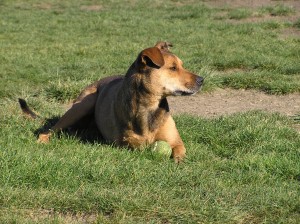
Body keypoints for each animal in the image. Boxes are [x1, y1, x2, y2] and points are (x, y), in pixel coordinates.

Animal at [19, 42, 204, 162]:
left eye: (181, 65)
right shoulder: (125, 143)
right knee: (49, 130)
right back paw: (44, 140)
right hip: (81, 105)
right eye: (173, 68)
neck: (150, 106)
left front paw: (178, 160)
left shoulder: (176, 142)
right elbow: (137, 143)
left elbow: (179, 150)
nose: (202, 80)